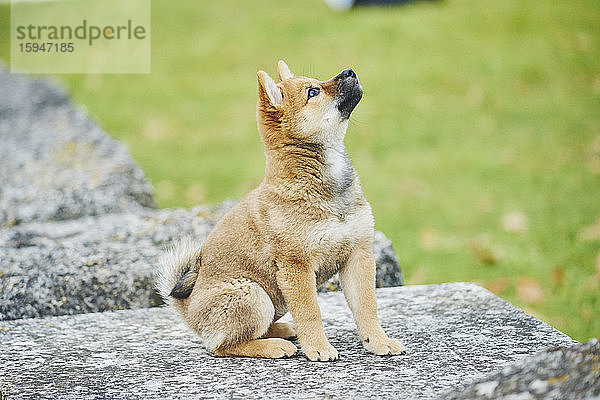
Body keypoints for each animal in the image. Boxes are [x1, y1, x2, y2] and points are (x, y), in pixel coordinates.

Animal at [157, 61, 406, 360]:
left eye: (316, 82)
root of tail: (189, 310)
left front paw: (378, 341)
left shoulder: (358, 254)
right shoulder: (295, 266)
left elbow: (367, 307)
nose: (349, 71)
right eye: (313, 92)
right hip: (253, 294)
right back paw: (274, 346)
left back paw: (283, 330)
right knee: (223, 346)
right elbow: (311, 313)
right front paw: (319, 348)